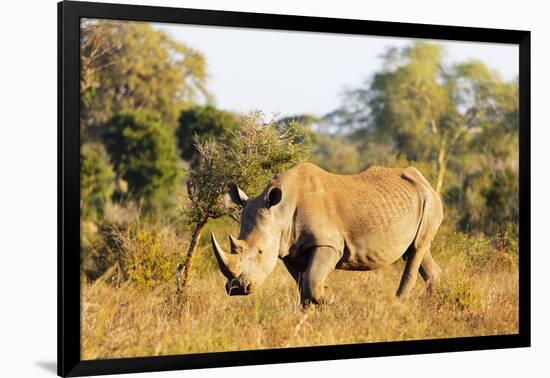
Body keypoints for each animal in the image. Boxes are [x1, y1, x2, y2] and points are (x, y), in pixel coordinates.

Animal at [210, 162, 444, 304]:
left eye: (260, 252)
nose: (236, 289)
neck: (280, 211)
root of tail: (424, 180)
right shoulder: (289, 250)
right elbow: (303, 284)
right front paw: (310, 311)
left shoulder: (328, 244)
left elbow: (312, 281)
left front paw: (329, 296)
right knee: (418, 251)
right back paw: (435, 301)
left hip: (430, 201)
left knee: (417, 249)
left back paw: (397, 304)